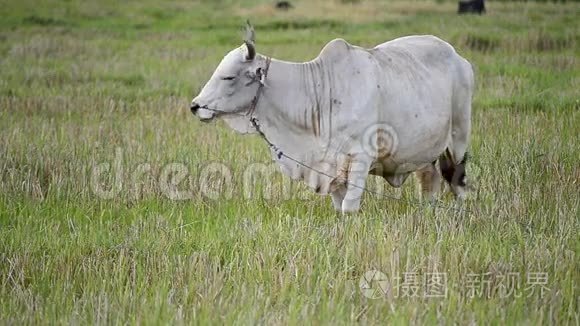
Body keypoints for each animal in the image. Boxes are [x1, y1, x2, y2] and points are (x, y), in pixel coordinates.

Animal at [190, 22, 472, 211]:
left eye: (228, 77)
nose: (195, 106)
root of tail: (458, 57)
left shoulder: (361, 158)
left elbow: (349, 207)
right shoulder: (330, 167)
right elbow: (339, 207)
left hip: (458, 139)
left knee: (457, 180)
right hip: (426, 151)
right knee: (429, 180)